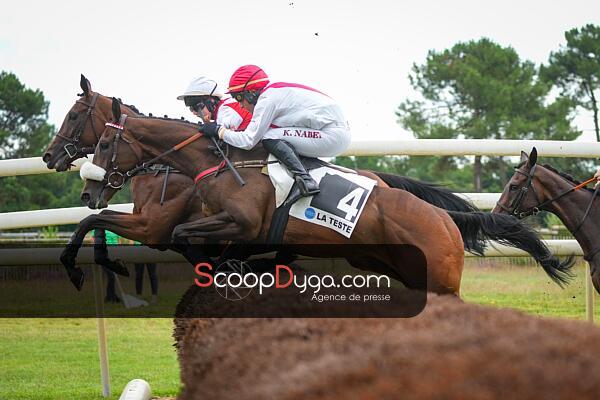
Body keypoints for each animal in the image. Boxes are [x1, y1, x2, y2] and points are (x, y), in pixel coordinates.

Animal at [78, 98, 573, 295]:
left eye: (103, 143)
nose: (88, 189)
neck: (222, 161)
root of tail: (444, 220)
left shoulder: (240, 223)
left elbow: (183, 232)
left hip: (439, 278)